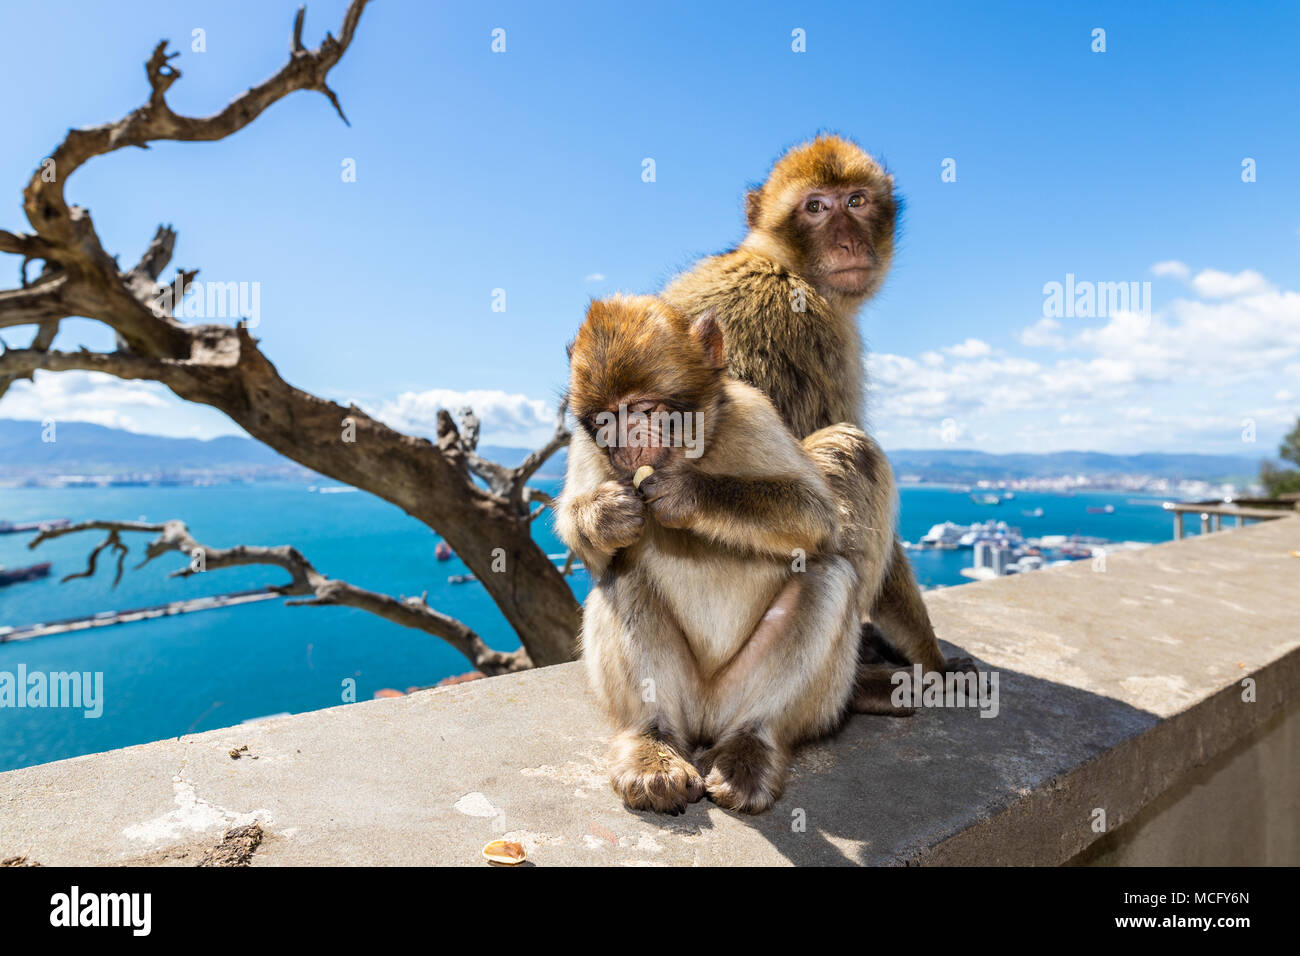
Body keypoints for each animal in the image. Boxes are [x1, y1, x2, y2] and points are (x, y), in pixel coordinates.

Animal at [556, 293, 863, 816]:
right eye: (604, 420)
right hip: (684, 695)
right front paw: (604, 515)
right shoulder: (585, 446)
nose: (624, 443)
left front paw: (687, 494)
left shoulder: (753, 413)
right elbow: (597, 556)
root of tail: (704, 719)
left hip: (741, 697)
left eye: (644, 409)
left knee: (828, 574)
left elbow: (816, 515)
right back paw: (653, 742)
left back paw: (752, 743)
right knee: (623, 573)